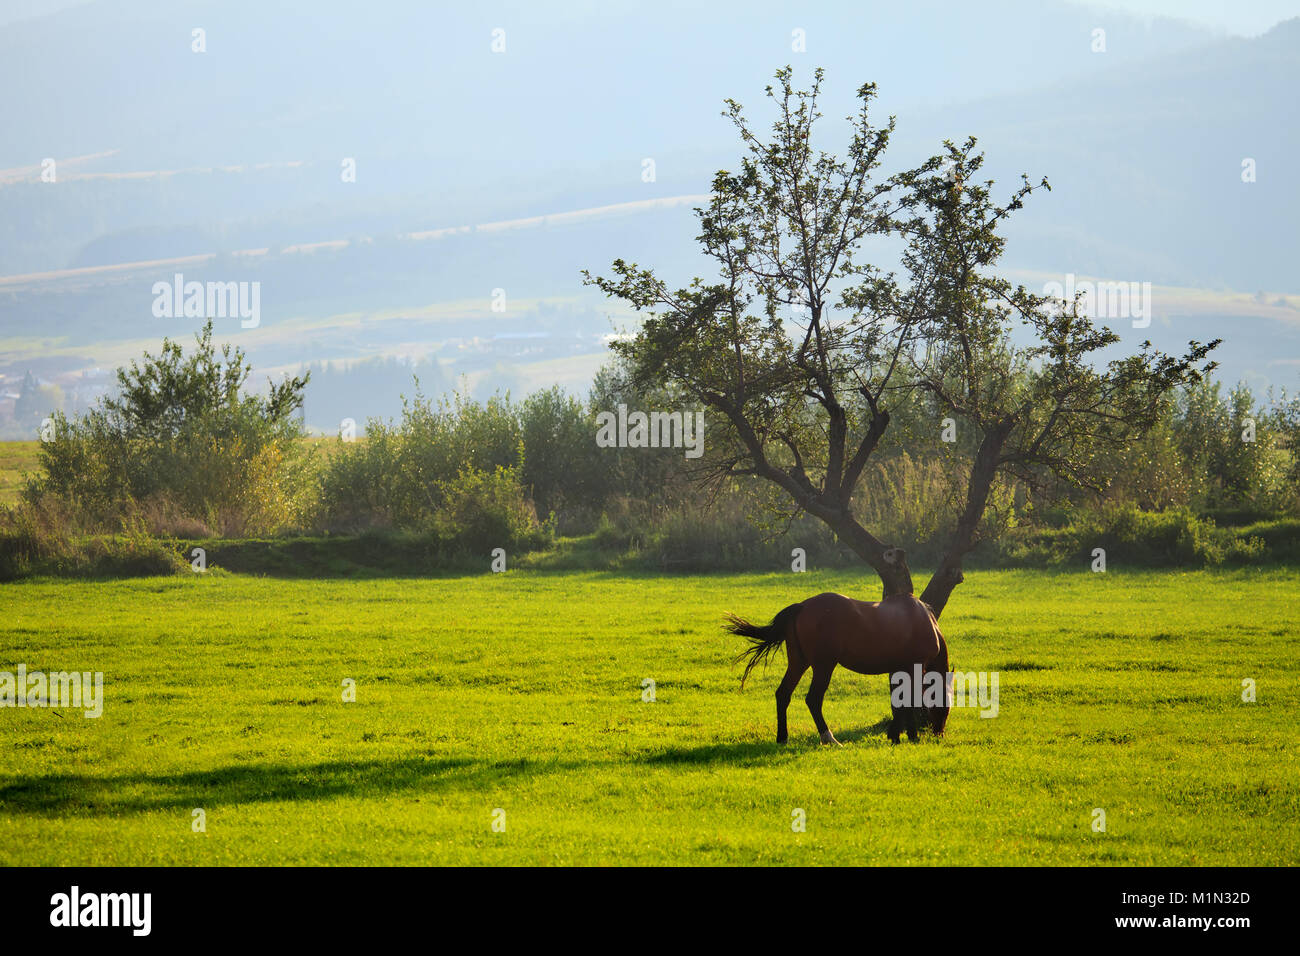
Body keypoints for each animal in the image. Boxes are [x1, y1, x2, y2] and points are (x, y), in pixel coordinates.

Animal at [728, 595, 951, 743]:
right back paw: (829, 738)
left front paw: (899, 735)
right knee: (813, 699)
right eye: (945, 705)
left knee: (783, 694)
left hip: (799, 662)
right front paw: (908, 736)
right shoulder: (915, 668)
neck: (924, 621)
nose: (939, 733)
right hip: (823, 665)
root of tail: (802, 606)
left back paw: (783, 737)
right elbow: (910, 701)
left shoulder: (900, 670)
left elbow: (901, 701)